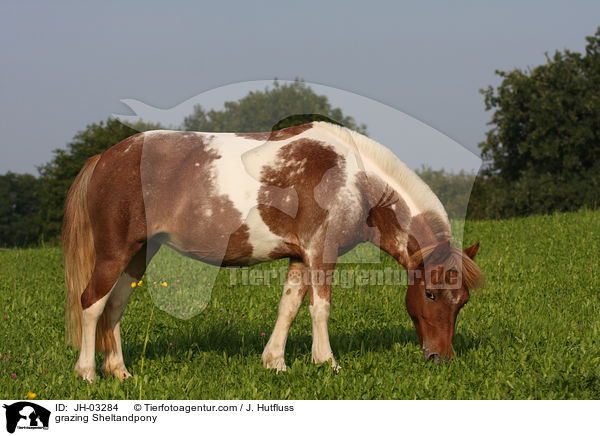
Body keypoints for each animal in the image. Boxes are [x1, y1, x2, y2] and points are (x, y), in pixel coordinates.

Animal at [63, 121, 482, 380]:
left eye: (461, 302)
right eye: (430, 294)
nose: (440, 358)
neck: (355, 180)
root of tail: (106, 158)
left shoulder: (300, 256)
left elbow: (289, 306)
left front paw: (275, 362)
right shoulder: (321, 252)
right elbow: (319, 307)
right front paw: (327, 363)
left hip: (137, 255)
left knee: (115, 306)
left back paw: (120, 371)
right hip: (115, 253)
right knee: (92, 303)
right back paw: (87, 373)